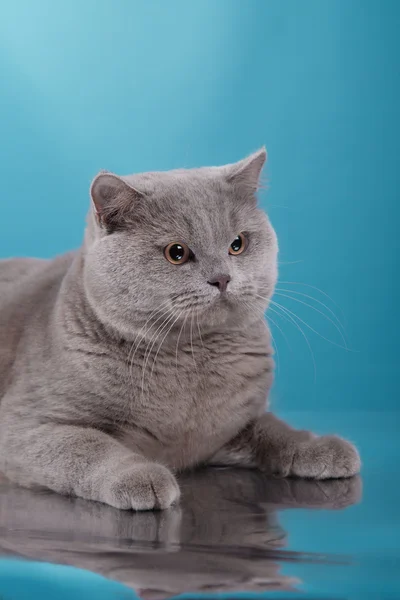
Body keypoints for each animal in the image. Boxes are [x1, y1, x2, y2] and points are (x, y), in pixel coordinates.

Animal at [0, 148, 360, 508]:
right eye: (177, 253)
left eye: (238, 244)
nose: (222, 278)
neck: (191, 361)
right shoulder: (26, 424)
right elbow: (92, 448)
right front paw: (142, 478)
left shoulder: (233, 425)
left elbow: (274, 429)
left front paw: (320, 447)